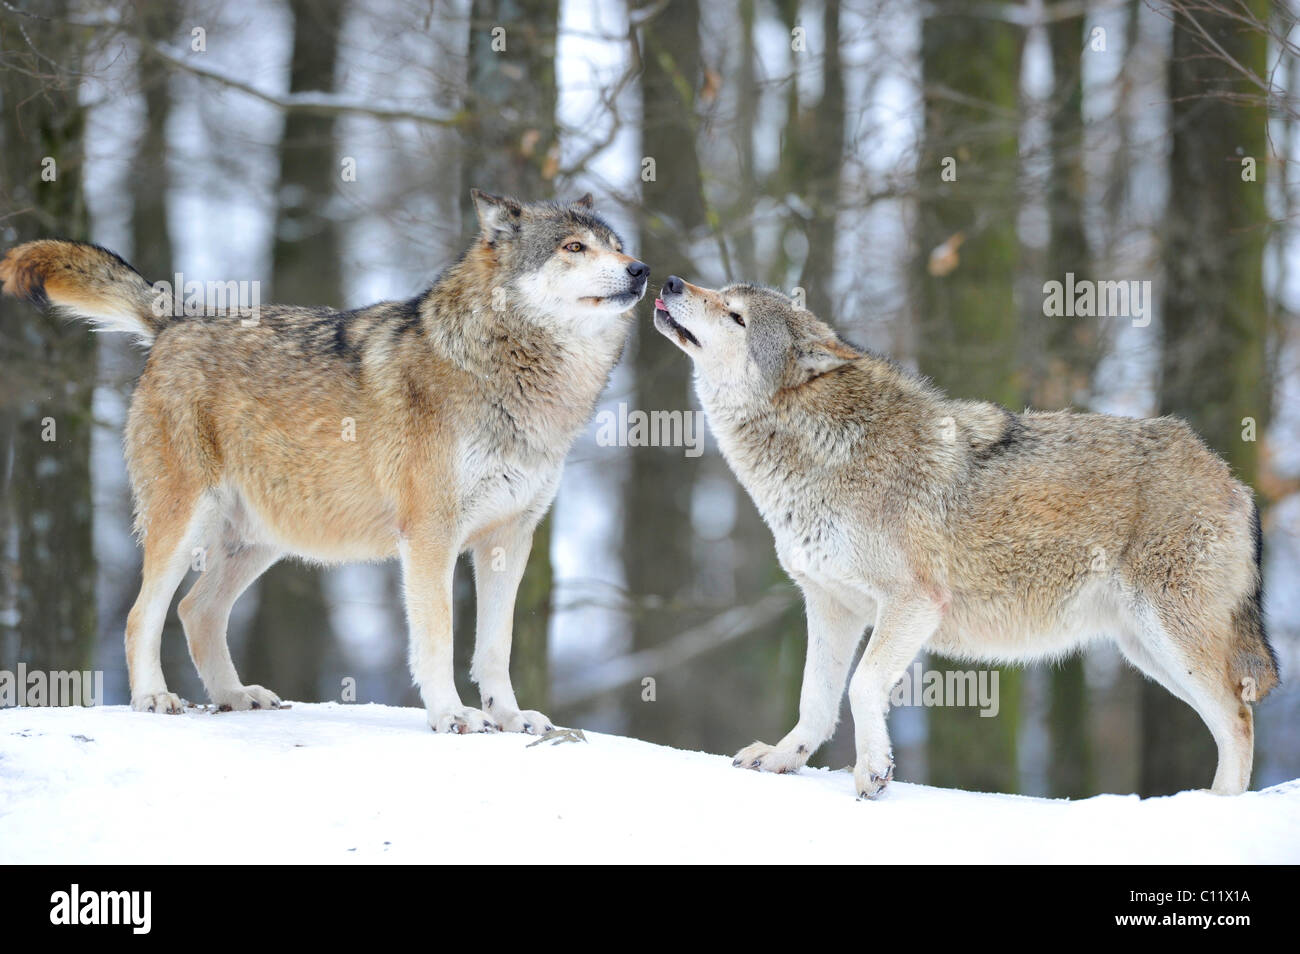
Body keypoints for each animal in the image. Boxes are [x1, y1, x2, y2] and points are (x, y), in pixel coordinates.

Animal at [0, 190, 648, 734]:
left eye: (615, 244)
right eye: (574, 247)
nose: (641, 269)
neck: (511, 373)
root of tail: (176, 320)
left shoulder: (508, 540)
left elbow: (495, 647)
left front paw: (511, 719)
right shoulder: (430, 536)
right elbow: (438, 638)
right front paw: (452, 716)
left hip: (259, 543)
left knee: (195, 610)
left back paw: (235, 697)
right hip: (187, 522)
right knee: (145, 614)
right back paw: (154, 698)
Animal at [653, 275, 1278, 797]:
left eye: (735, 316)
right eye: (719, 292)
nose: (671, 281)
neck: (820, 453)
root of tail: (1232, 479)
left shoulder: (913, 603)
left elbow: (861, 686)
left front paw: (873, 771)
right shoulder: (831, 604)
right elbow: (816, 700)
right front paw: (785, 759)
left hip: (1170, 639)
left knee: (1238, 719)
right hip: (1145, 650)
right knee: (1233, 719)